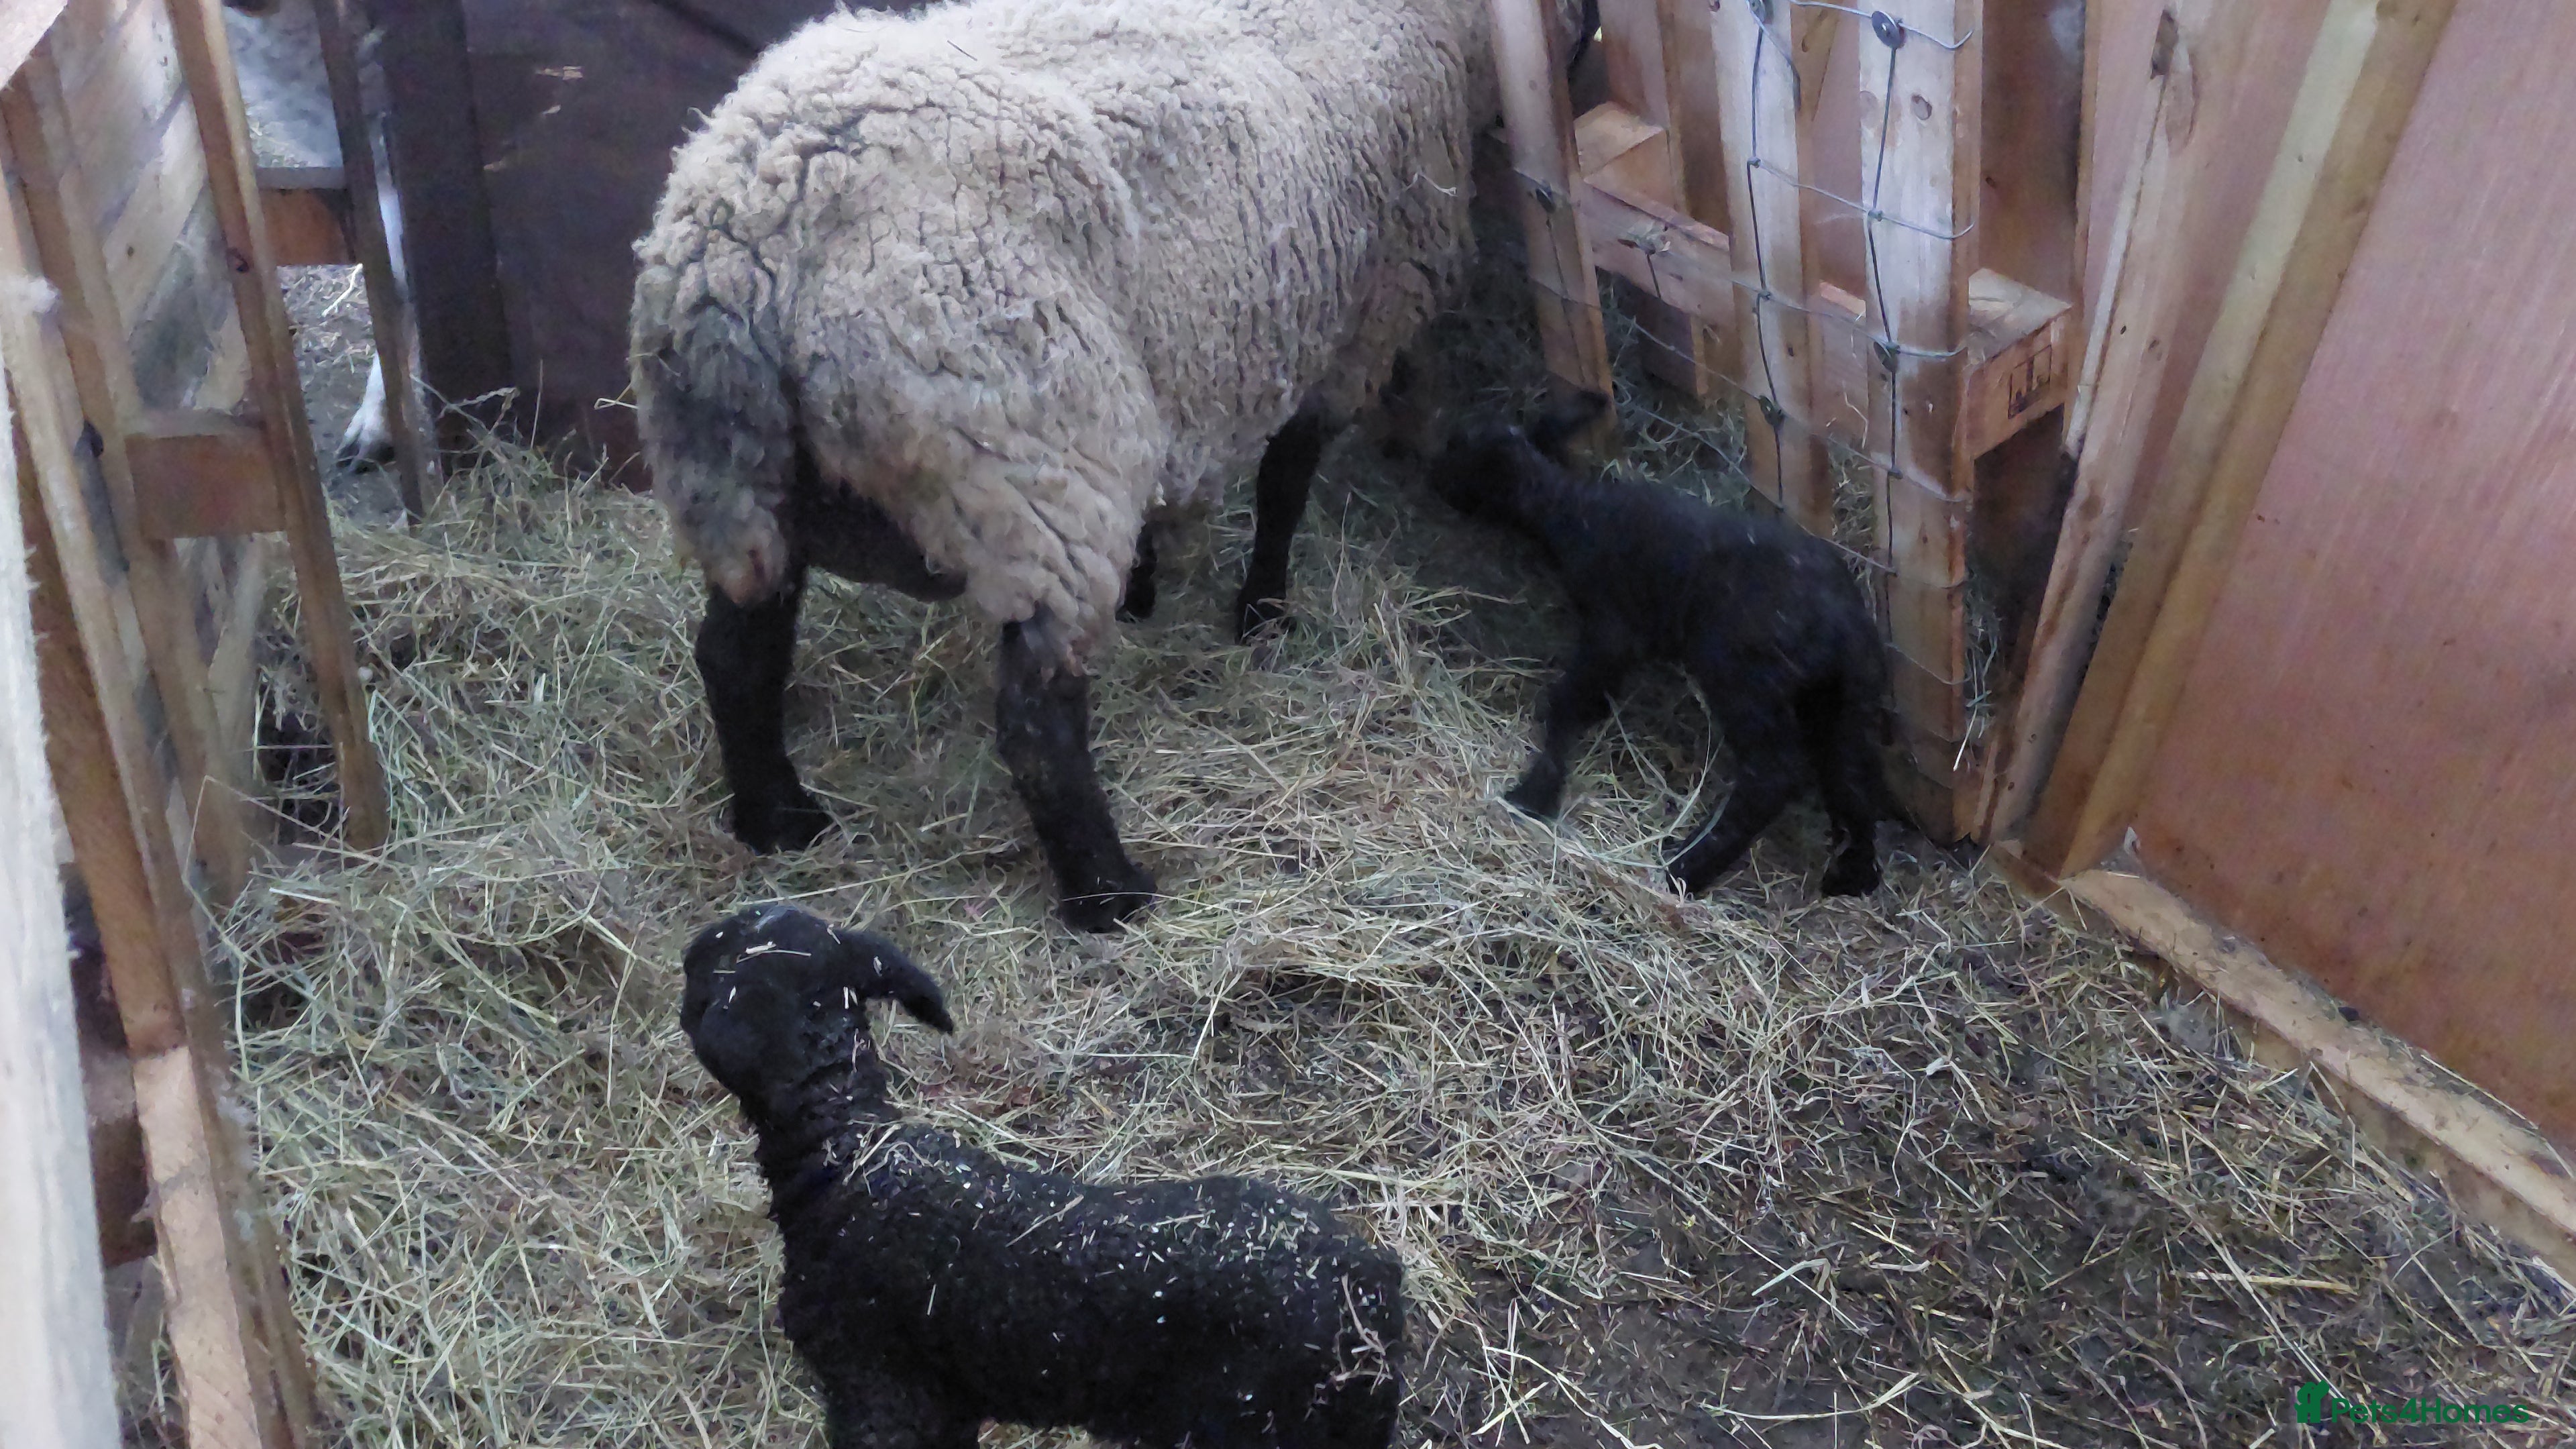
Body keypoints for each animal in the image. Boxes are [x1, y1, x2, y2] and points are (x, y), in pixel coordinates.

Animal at [630, 0, 1587, 930]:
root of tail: (742, 248)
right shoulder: (1356, 324)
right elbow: (1286, 481)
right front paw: (1263, 611)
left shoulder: (1181, 367)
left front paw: (1151, 588)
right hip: (1043, 471)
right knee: (1035, 723)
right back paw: (1109, 895)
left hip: (746, 490)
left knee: (735, 655)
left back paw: (778, 821)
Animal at [1425, 390, 1896, 897]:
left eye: (1457, 450)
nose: (1430, 477)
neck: (1571, 507)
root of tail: (1845, 624)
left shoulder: (1613, 628)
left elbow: (1566, 701)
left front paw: (1534, 793)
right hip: (1842, 698)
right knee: (1851, 774)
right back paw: (1854, 875)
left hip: (1743, 675)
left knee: (1774, 773)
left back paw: (1686, 867)